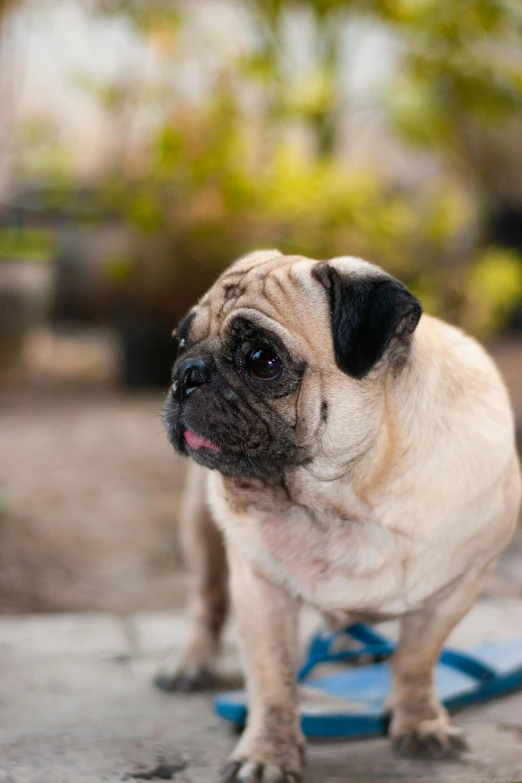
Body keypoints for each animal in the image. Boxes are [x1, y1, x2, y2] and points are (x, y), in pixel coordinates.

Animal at [160, 253, 516, 783]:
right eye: (182, 342)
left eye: (262, 360)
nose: (187, 373)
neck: (340, 505)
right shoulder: (260, 591)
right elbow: (273, 681)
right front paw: (268, 753)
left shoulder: (454, 591)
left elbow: (416, 661)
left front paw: (420, 722)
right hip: (199, 530)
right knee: (206, 600)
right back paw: (191, 663)